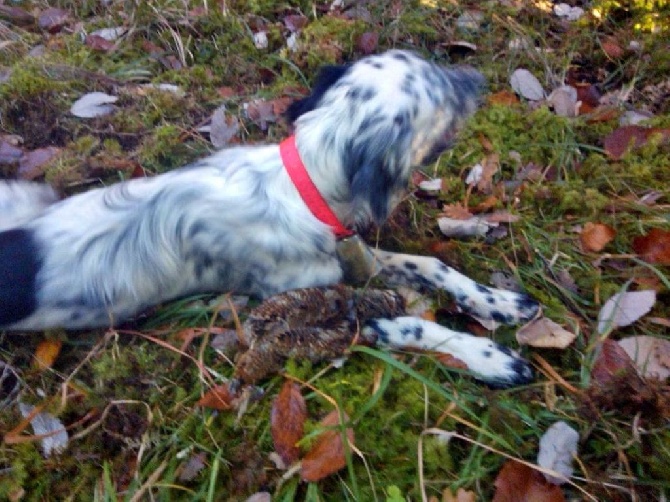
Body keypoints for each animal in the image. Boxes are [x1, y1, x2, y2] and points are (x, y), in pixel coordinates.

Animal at [0, 51, 540, 386]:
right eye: (443, 92)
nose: (478, 79)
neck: (302, 186)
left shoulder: (353, 256)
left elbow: (434, 265)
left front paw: (498, 302)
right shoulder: (311, 311)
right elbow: (412, 327)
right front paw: (490, 358)